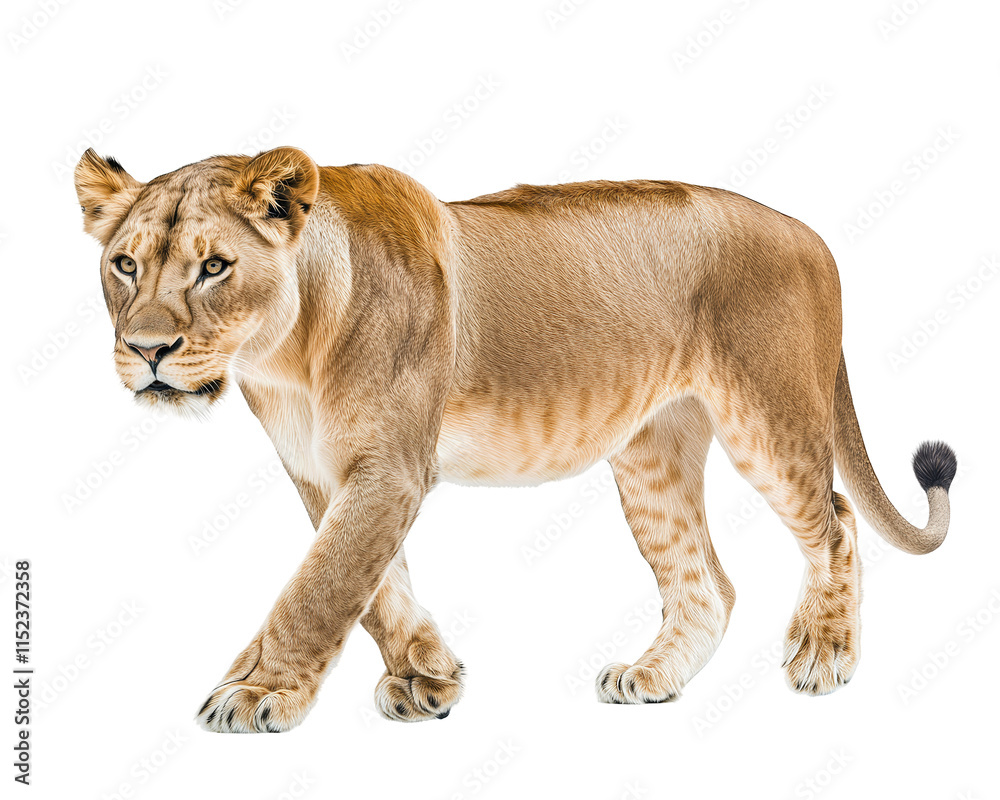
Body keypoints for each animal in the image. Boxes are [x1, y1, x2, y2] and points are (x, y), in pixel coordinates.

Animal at [75, 146, 956, 733]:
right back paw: (653, 676)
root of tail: (811, 233)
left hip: (769, 416)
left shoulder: (387, 470)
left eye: (214, 267)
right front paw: (427, 678)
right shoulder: (327, 476)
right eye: (124, 265)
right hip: (651, 453)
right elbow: (374, 587)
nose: (147, 351)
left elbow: (318, 588)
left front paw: (260, 694)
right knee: (708, 582)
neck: (285, 352)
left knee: (836, 524)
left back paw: (825, 655)